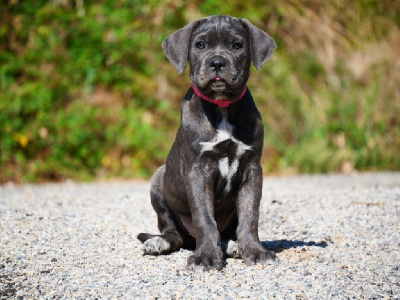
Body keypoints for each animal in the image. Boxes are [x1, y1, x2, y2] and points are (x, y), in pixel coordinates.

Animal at [139, 14, 276, 272]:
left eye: (237, 45)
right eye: (200, 45)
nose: (218, 63)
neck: (221, 106)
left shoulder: (252, 168)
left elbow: (250, 215)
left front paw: (255, 251)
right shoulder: (198, 169)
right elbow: (204, 217)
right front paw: (206, 257)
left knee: (227, 232)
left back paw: (232, 245)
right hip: (158, 180)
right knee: (173, 232)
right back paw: (159, 242)